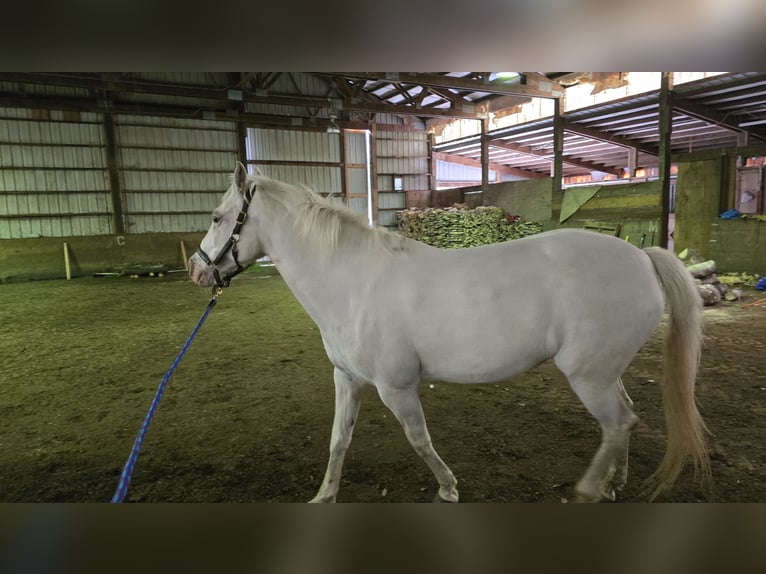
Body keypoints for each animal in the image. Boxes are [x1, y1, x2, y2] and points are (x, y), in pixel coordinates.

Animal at [188, 162, 711, 502]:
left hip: (588, 376)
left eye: (216, 217)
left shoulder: (396, 388)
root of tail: (643, 256)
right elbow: (338, 441)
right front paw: (324, 496)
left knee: (618, 422)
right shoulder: (347, 379)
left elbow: (420, 440)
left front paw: (448, 487)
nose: (196, 269)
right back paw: (614, 482)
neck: (352, 280)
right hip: (603, 372)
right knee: (625, 419)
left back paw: (589, 488)